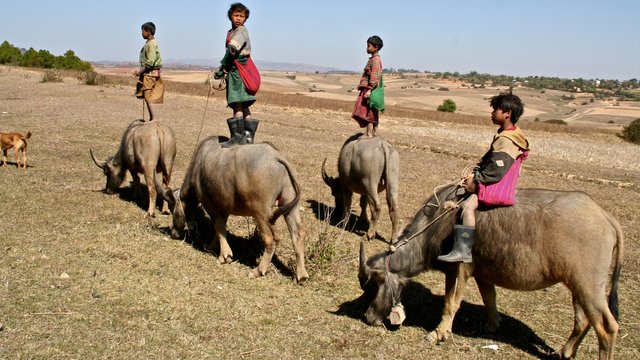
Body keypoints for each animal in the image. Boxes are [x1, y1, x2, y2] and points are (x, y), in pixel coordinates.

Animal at [166, 138, 308, 284]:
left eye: (172, 209)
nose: (174, 233)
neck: (198, 166)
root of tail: (276, 156)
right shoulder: (224, 208)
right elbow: (220, 228)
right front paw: (212, 246)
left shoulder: (209, 203)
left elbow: (218, 226)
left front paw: (225, 256)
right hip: (289, 204)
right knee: (298, 234)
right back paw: (301, 275)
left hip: (261, 212)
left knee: (271, 238)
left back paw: (258, 270)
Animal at [360, 184, 624, 358]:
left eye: (376, 282)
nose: (368, 317)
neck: (436, 224)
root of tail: (605, 217)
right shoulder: (483, 274)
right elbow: (489, 298)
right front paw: (492, 325)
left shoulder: (457, 271)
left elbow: (450, 303)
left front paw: (439, 333)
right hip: (577, 286)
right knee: (583, 320)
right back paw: (565, 352)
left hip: (588, 286)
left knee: (607, 327)